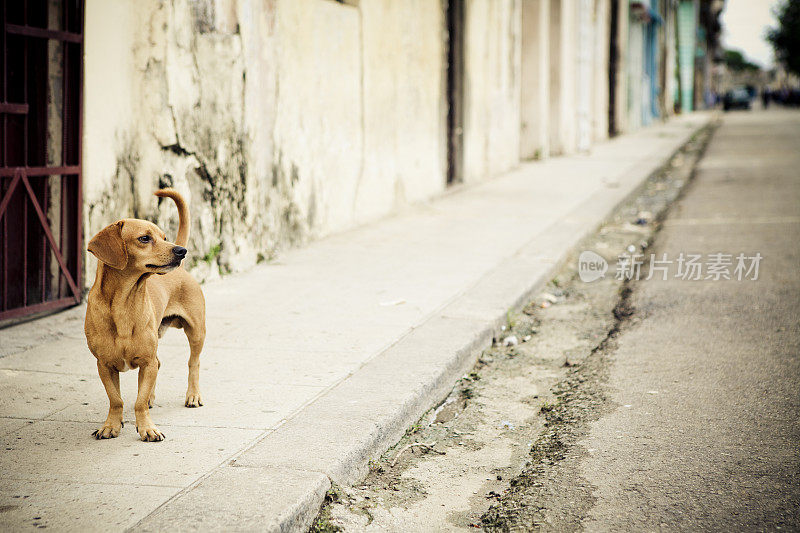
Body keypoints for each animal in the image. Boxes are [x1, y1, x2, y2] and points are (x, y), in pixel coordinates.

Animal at [84, 187, 206, 440]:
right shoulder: (104, 366)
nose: (181, 251)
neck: (123, 303)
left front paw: (147, 428)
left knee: (194, 362)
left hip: (197, 332)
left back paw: (192, 395)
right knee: (159, 365)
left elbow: (138, 402)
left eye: (164, 237)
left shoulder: (146, 362)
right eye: (144, 238)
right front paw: (111, 425)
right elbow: (116, 399)